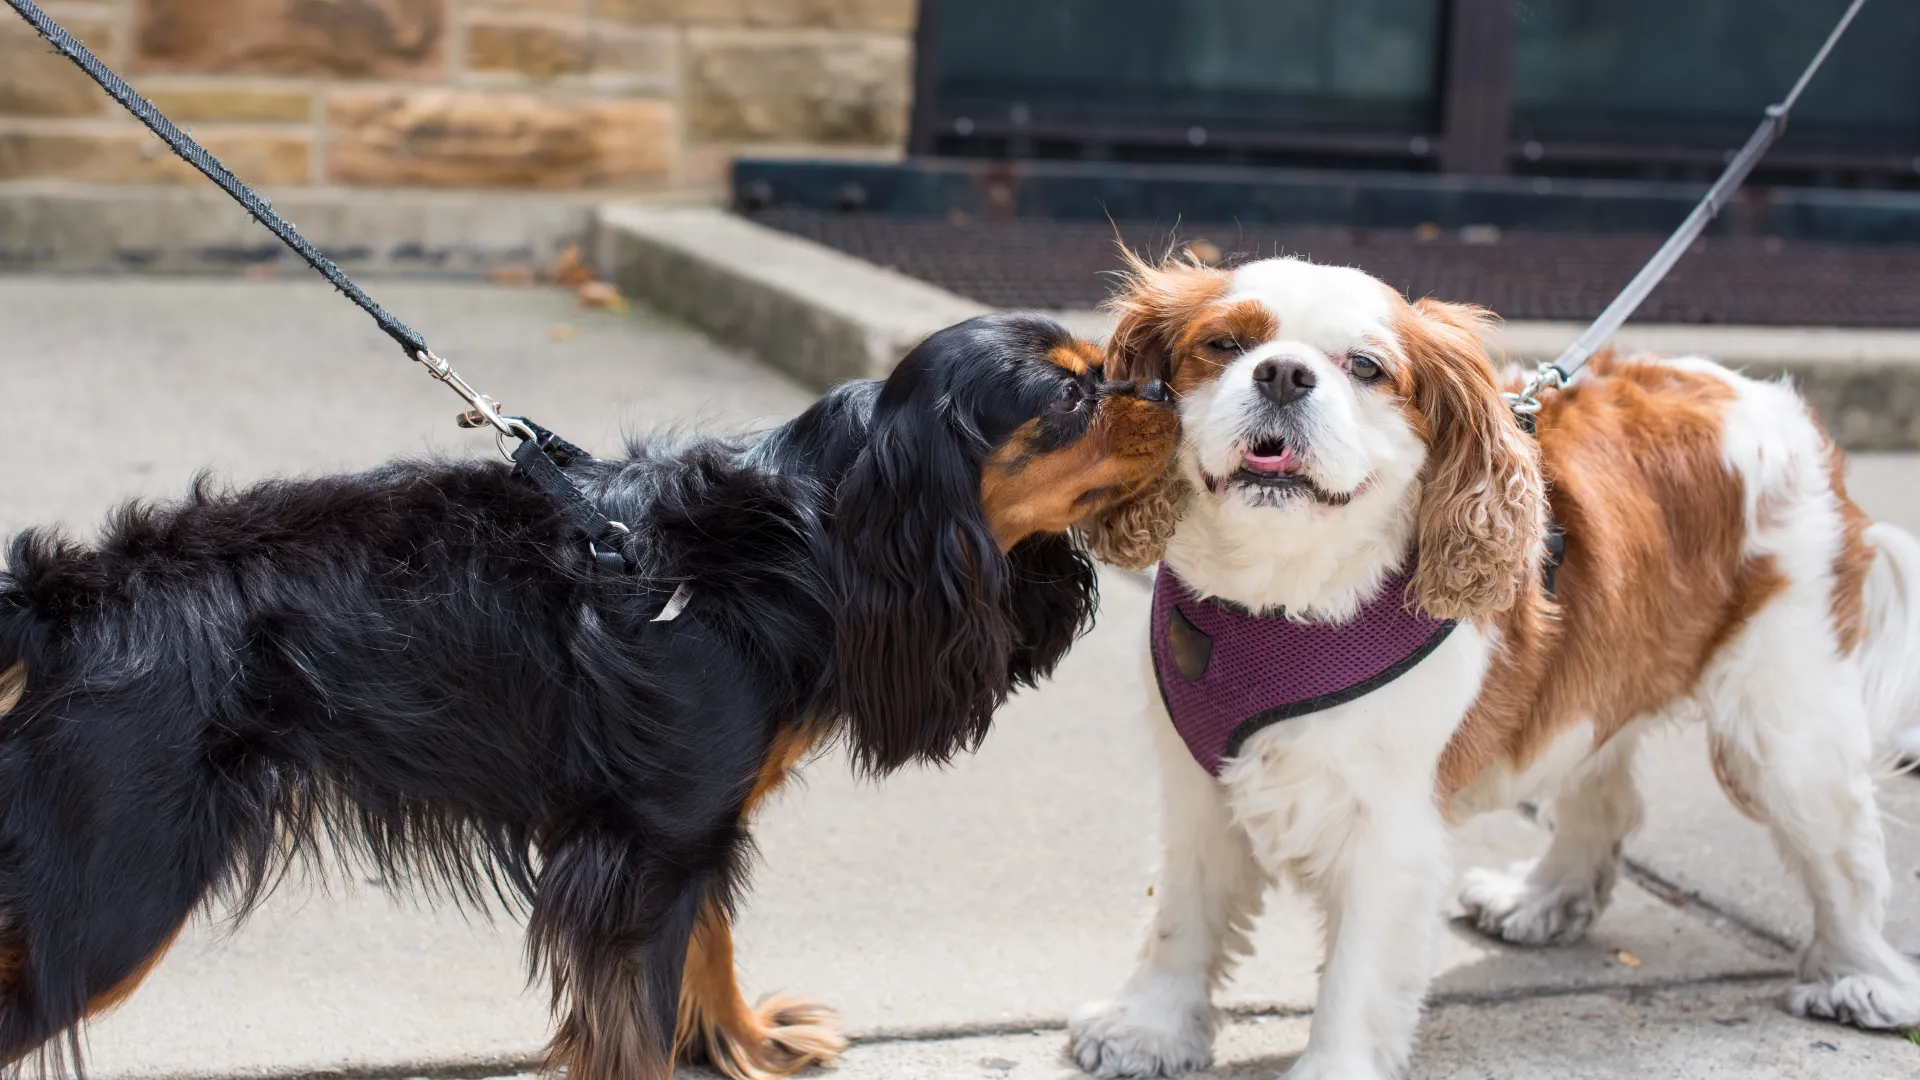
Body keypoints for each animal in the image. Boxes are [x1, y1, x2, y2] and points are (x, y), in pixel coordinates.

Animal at [1067, 253, 1920, 1076]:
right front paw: (1147, 1029)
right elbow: (1183, 913)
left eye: (1366, 367)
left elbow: (1355, 977)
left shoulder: (1391, 827)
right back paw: (1543, 896)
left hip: (1784, 730)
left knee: (1845, 856)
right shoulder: (1199, 781)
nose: (1281, 373)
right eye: (1224, 345)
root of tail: (1788, 412)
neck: (1280, 598)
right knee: (1605, 794)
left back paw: (1862, 979)